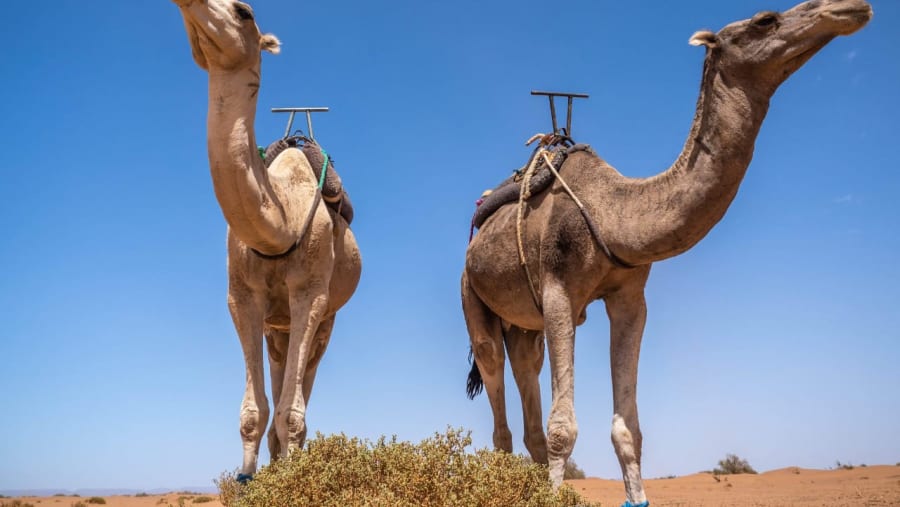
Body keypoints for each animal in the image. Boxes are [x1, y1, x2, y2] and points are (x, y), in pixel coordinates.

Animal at [172, 0, 361, 480]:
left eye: (244, 12)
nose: (187, 2)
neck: (281, 222)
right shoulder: (241, 295)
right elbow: (254, 411)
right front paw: (249, 479)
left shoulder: (310, 293)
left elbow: (292, 413)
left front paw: (292, 479)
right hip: (278, 326)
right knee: (278, 373)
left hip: (327, 317)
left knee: (304, 380)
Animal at [462, 1, 872, 505]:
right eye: (765, 20)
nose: (847, 9)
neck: (614, 213)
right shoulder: (559, 290)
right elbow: (563, 428)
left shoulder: (629, 297)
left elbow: (627, 428)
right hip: (473, 295)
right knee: (494, 377)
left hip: (524, 323)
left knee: (526, 373)